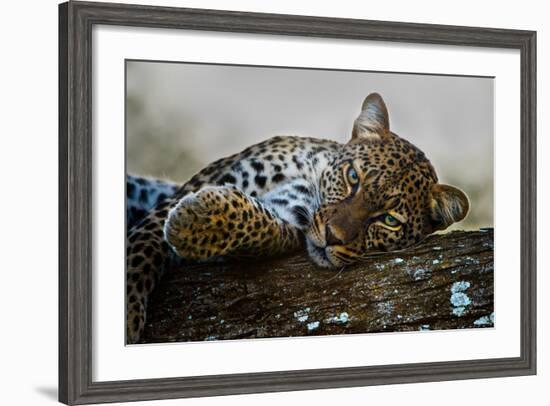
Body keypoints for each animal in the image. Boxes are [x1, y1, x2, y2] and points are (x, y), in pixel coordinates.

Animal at [125, 93, 470, 344]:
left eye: (390, 220)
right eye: (353, 177)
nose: (332, 236)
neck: (307, 178)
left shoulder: (288, 224)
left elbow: (261, 227)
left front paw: (196, 220)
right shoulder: (188, 190)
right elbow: (142, 251)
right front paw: (128, 316)